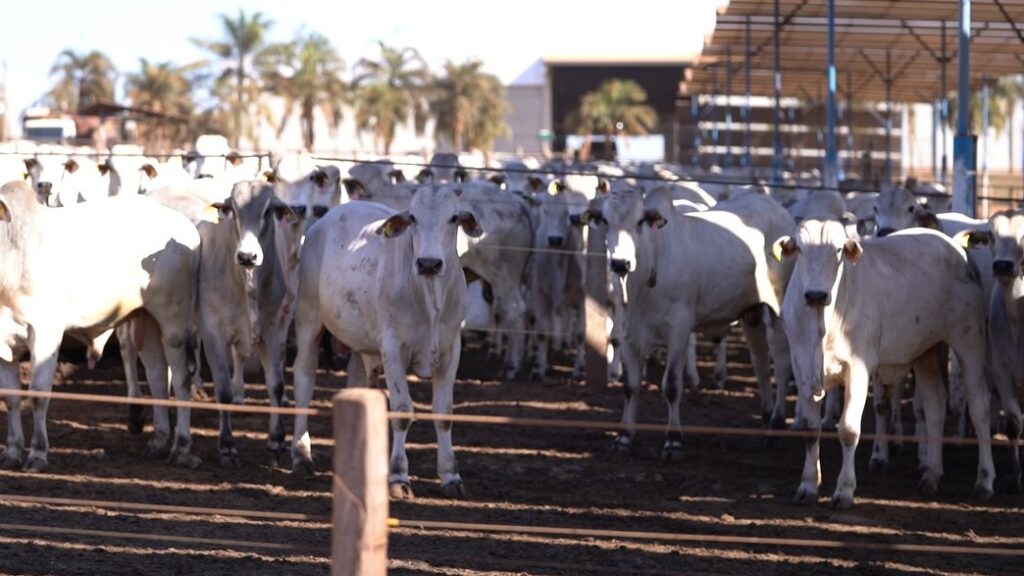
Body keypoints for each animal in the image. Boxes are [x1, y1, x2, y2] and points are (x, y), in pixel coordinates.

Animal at [0, 181, 200, 469]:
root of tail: (188, 228)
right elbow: (11, 398)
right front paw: (12, 451)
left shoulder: (45, 333)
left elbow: (38, 395)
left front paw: (37, 453)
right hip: (147, 319)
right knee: (158, 377)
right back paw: (158, 441)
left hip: (174, 322)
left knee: (182, 379)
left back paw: (182, 447)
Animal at [288, 184, 479, 498]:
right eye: (413, 217)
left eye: (453, 218)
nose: (429, 263)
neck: (430, 299)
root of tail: (327, 218)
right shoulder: (393, 349)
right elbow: (401, 411)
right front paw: (399, 477)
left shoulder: (451, 350)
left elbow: (444, 413)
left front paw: (451, 476)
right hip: (308, 318)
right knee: (304, 378)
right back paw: (301, 455)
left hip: (359, 343)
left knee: (356, 384)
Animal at [774, 219, 991, 506]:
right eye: (799, 248)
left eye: (839, 250)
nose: (815, 295)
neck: (821, 326)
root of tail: (953, 245)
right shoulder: (801, 367)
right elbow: (811, 430)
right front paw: (808, 486)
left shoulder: (858, 368)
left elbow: (848, 430)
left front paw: (844, 490)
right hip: (927, 350)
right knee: (935, 404)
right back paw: (931, 475)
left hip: (970, 341)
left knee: (979, 408)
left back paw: (984, 481)